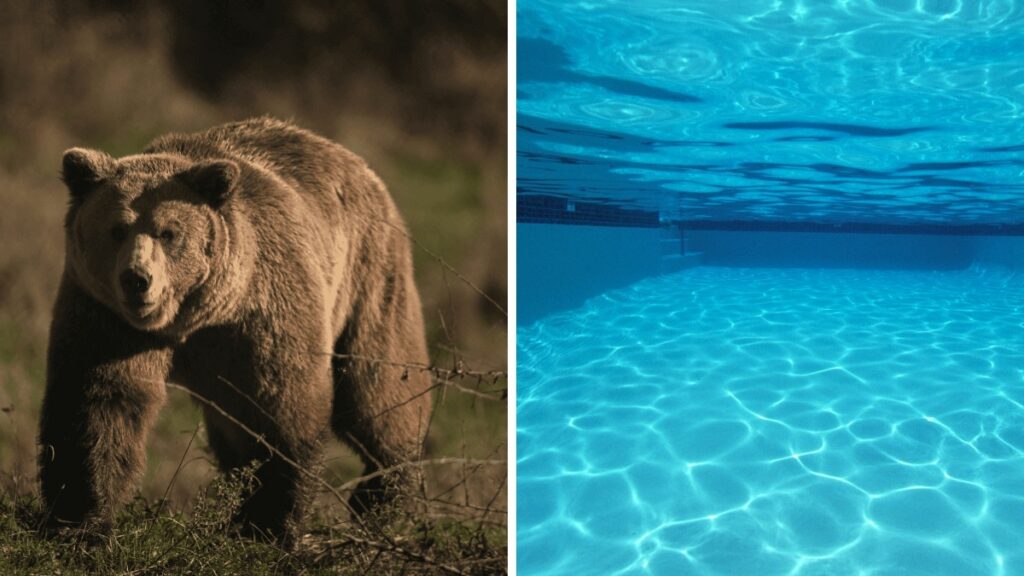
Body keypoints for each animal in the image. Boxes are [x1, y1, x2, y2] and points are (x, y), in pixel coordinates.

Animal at [38, 117, 433, 543]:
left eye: (168, 232)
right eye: (116, 229)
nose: (137, 279)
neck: (193, 318)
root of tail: (358, 164)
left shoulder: (263, 314)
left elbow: (284, 407)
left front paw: (270, 521)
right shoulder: (108, 318)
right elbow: (100, 403)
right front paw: (80, 519)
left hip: (369, 280)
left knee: (378, 391)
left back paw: (383, 495)